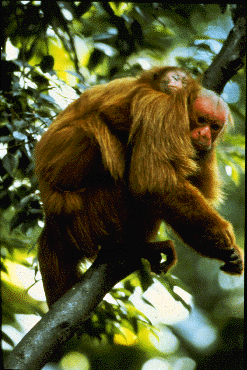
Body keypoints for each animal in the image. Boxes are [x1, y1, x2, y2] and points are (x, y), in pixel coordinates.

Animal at [34, 66, 243, 306]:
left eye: (214, 127)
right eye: (201, 121)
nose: (205, 135)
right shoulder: (161, 110)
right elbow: (155, 184)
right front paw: (223, 242)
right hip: (89, 211)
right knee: (99, 138)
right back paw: (130, 245)